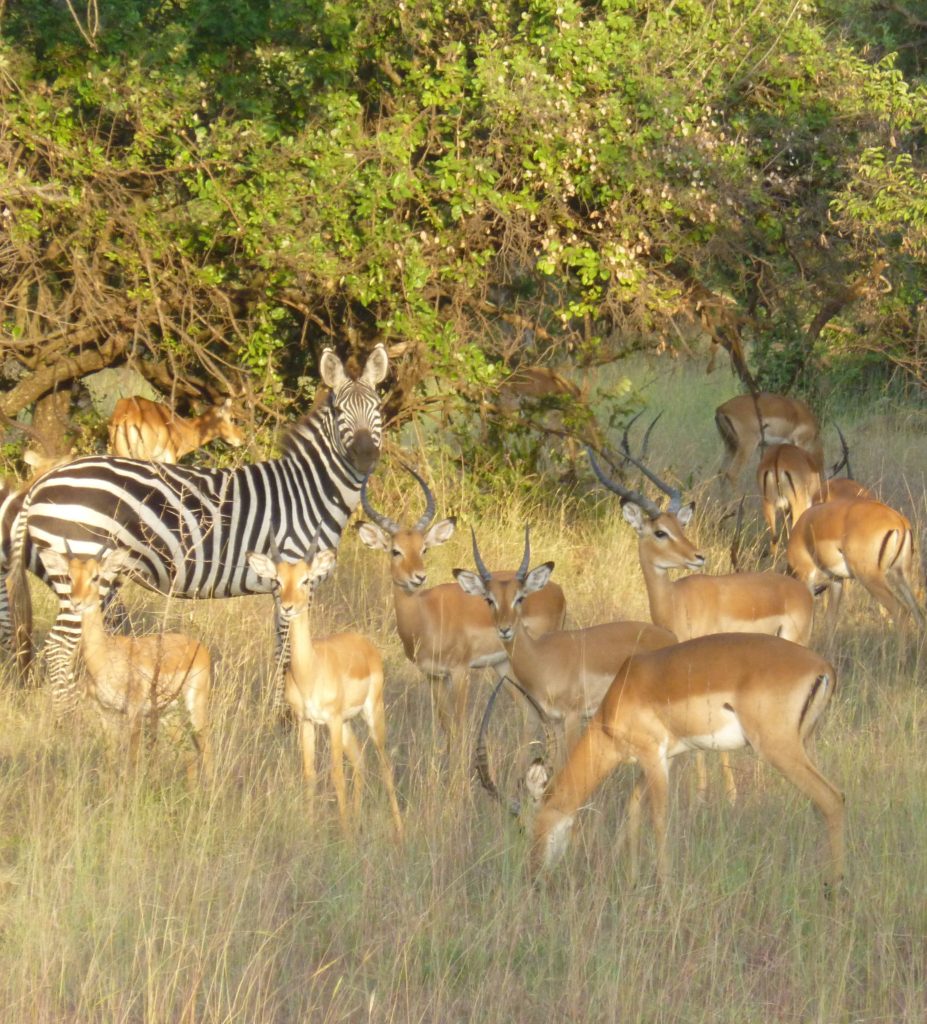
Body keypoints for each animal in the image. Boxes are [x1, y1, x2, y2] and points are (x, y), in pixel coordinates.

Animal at [4, 344, 387, 712]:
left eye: (377, 408)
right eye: (340, 413)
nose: (365, 455)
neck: (309, 491)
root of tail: (43, 482)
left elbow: (282, 650)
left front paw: (281, 713)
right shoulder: (291, 571)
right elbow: (288, 654)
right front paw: (288, 717)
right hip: (81, 567)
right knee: (58, 647)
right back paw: (67, 719)